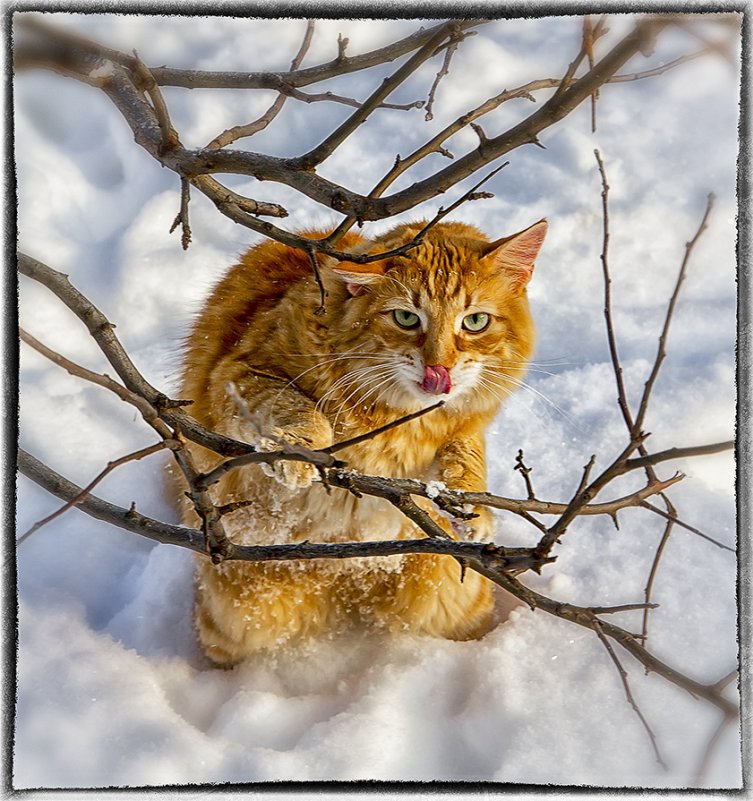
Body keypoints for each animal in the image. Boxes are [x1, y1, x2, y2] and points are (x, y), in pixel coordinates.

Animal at [180, 216, 548, 664]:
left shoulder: (463, 429)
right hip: (239, 619)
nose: (439, 366)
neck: (399, 419)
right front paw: (300, 452)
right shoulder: (239, 375)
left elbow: (465, 459)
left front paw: (470, 509)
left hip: (452, 599)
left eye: (475, 322)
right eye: (406, 318)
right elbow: (300, 408)